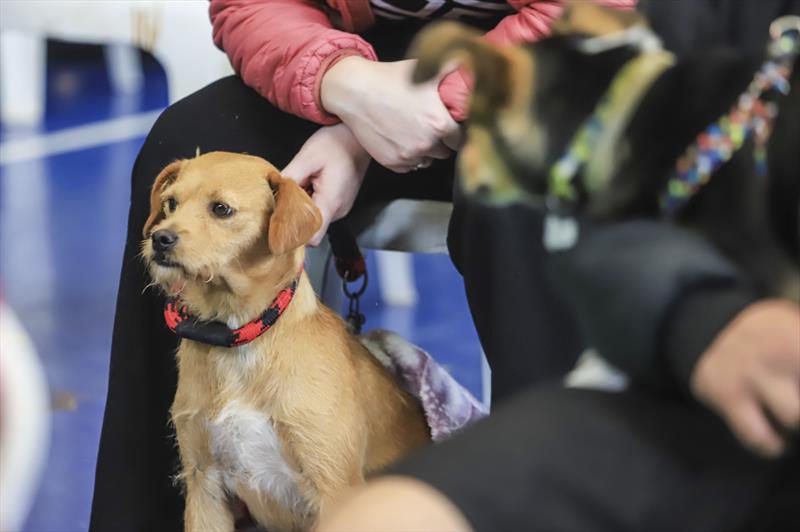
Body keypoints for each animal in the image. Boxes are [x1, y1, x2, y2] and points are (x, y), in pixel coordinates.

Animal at [144, 152, 432, 532]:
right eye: (171, 203)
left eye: (221, 209)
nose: (160, 239)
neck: (237, 340)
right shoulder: (204, 484)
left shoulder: (333, 485)